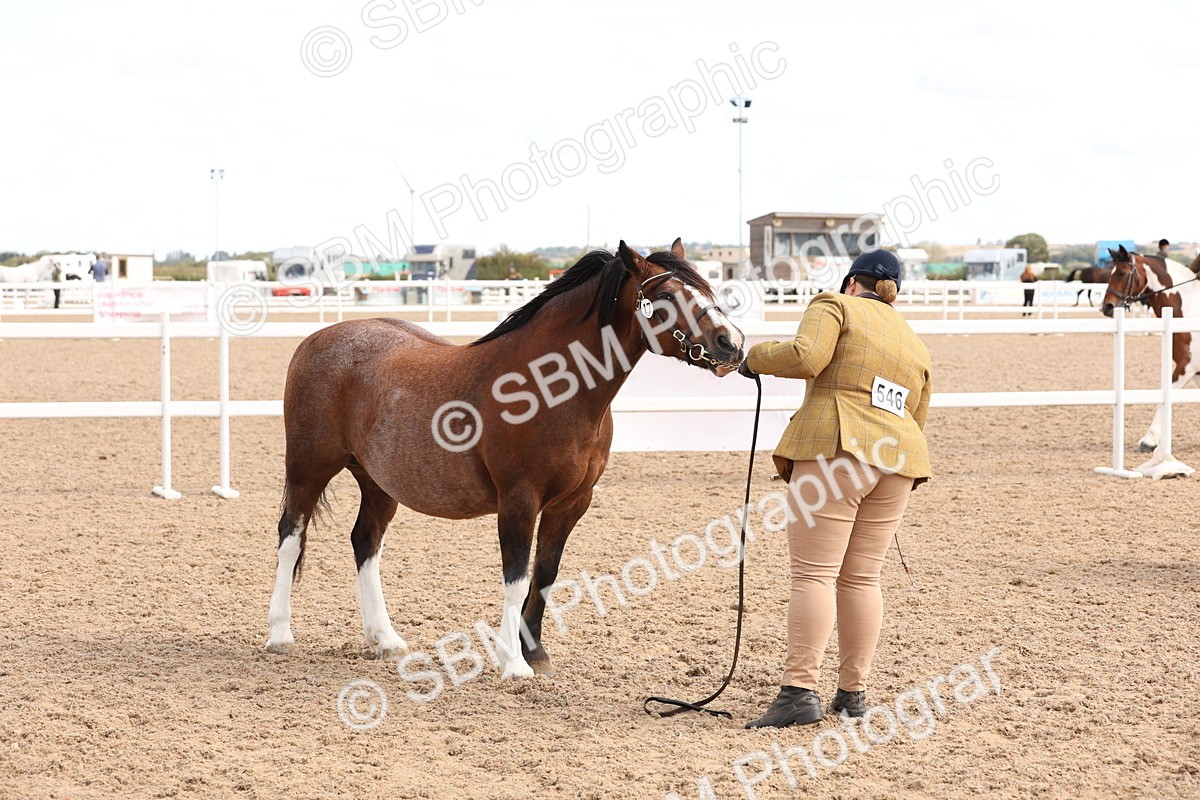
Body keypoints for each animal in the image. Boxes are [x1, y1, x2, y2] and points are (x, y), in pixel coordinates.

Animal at [266, 239, 746, 679]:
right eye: (665, 296)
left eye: (707, 287)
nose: (731, 344)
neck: (548, 388)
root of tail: (316, 340)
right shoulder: (519, 501)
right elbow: (515, 578)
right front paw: (513, 663)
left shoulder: (572, 503)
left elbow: (545, 574)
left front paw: (536, 653)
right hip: (309, 468)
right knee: (291, 536)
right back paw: (280, 634)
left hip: (378, 482)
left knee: (365, 542)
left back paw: (384, 639)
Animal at [1101, 244, 1200, 454]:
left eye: (1122, 273)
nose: (1107, 307)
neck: (1190, 309)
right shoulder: (1195, 370)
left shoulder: (1186, 366)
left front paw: (1149, 440)